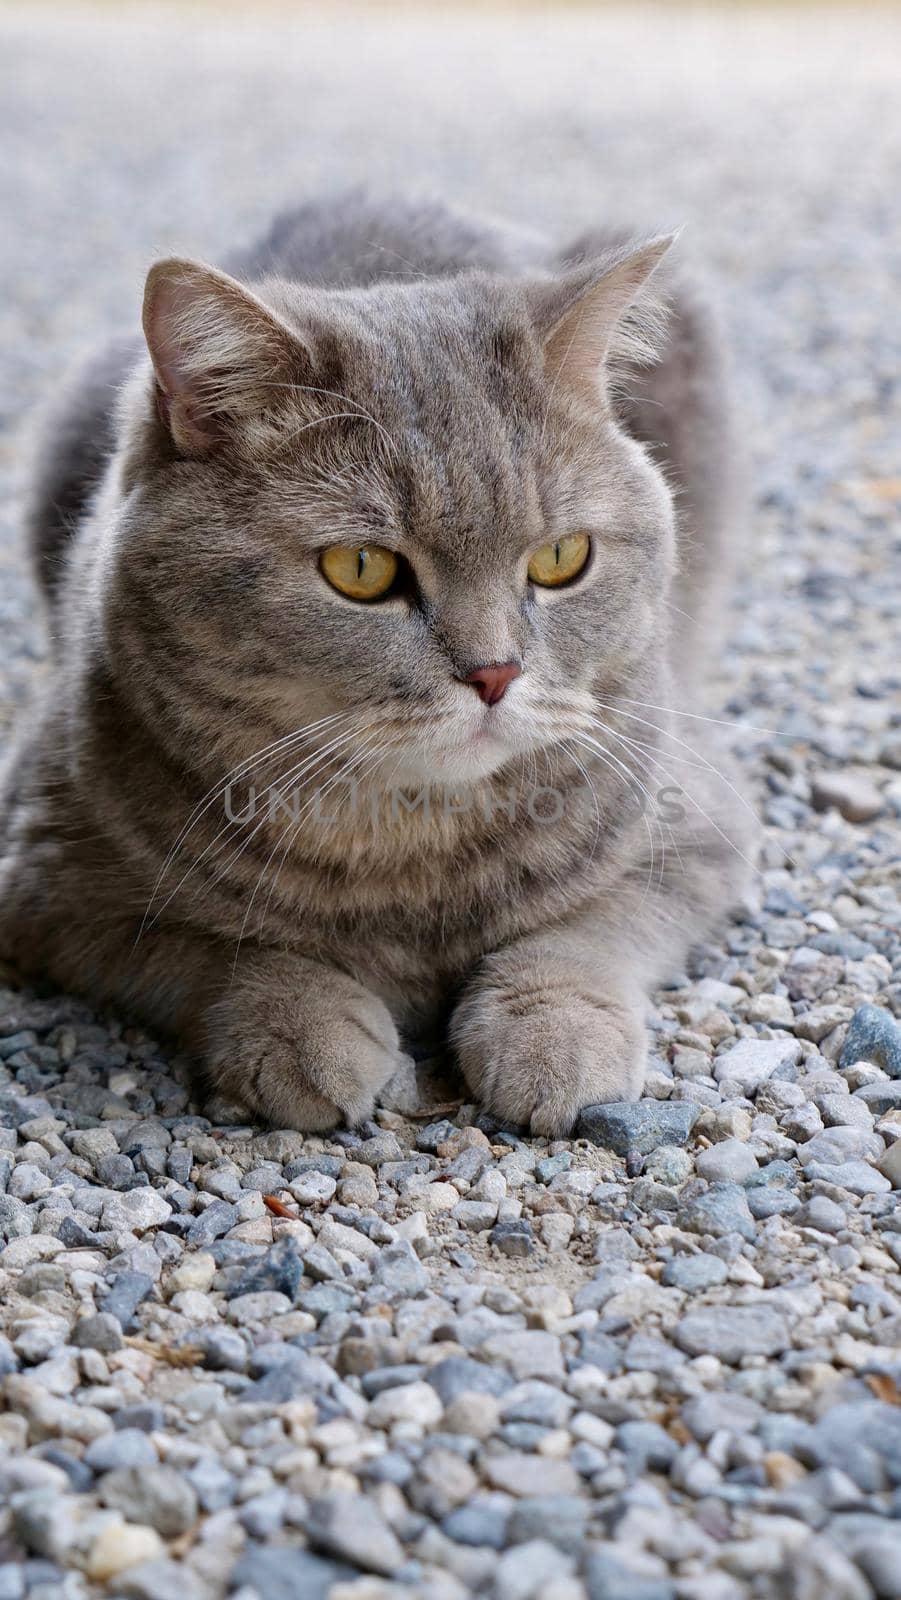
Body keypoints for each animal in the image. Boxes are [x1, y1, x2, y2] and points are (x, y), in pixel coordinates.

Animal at [0, 193, 748, 1132]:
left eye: (561, 559)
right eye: (360, 570)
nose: (494, 672)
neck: (412, 848)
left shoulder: (699, 832)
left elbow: (588, 927)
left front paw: (554, 1035)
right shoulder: (47, 884)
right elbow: (211, 946)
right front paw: (305, 1029)